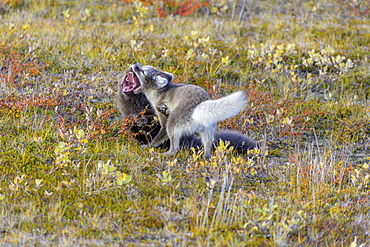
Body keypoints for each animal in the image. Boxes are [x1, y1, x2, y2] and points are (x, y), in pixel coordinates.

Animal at [118, 61, 254, 158]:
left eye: (143, 71)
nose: (135, 63)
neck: (160, 92)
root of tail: (199, 108)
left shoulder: (163, 119)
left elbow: (159, 136)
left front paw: (149, 146)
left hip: (173, 123)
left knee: (175, 148)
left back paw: (166, 154)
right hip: (208, 131)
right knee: (208, 145)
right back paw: (206, 158)